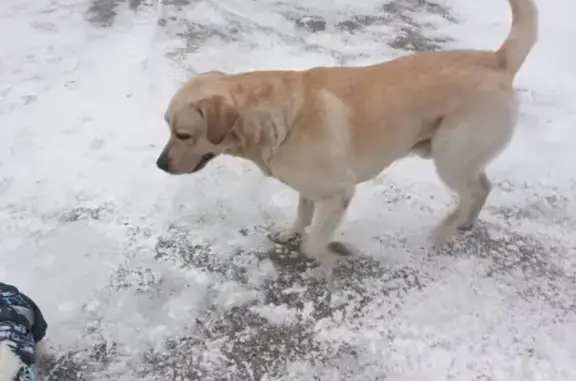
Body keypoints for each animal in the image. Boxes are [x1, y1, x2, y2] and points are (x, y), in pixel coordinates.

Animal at [155, 0, 536, 268]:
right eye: (167, 126)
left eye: (184, 134)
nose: (160, 164)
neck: (280, 117)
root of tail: (498, 59)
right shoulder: (310, 188)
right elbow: (302, 213)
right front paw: (291, 231)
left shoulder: (339, 192)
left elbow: (314, 240)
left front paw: (330, 251)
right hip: (458, 155)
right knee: (483, 186)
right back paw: (463, 224)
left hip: (450, 155)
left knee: (473, 191)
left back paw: (444, 231)